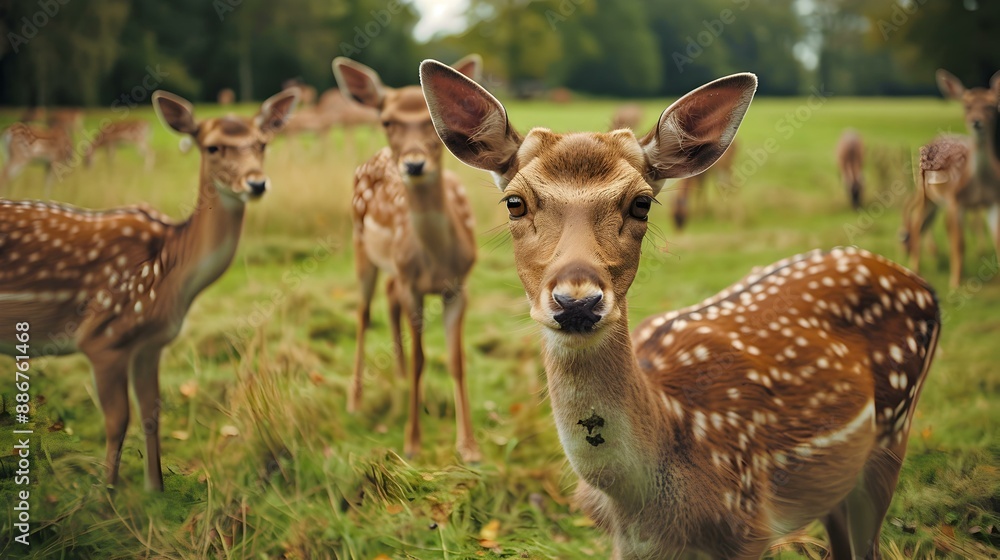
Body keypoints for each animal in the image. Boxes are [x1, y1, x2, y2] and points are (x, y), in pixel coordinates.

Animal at [0, 88, 299, 491]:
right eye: (213, 147)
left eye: (262, 143)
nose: (256, 183)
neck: (169, 275)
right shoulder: (102, 337)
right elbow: (117, 422)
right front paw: (107, 496)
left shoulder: (150, 343)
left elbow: (151, 414)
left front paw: (155, 490)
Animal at [332, 55, 483, 463]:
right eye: (386, 121)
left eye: (432, 120)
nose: (414, 165)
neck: (436, 261)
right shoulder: (414, 287)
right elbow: (421, 360)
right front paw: (412, 443)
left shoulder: (459, 286)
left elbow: (456, 360)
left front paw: (468, 446)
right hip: (359, 245)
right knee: (363, 313)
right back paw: (355, 399)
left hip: (391, 267)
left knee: (389, 295)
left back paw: (396, 376)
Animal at [421, 60, 941, 560]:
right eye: (514, 202)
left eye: (641, 203)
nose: (577, 300)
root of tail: (919, 284)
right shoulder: (626, 544)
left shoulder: (748, 528)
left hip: (892, 435)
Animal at [904, 69, 1000, 289]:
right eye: (966, 106)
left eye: (992, 105)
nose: (976, 121)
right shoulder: (956, 200)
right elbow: (959, 244)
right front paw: (955, 283)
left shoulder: (994, 201)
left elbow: (997, 239)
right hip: (925, 193)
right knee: (917, 224)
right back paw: (916, 270)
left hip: (937, 201)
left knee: (924, 224)